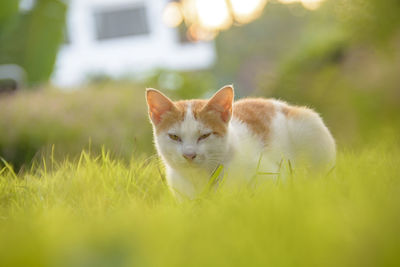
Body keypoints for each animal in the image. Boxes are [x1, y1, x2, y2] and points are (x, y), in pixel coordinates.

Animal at [145, 85, 336, 200]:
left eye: (204, 135)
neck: (201, 177)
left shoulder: (271, 176)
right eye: (174, 137)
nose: (189, 154)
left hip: (309, 125)